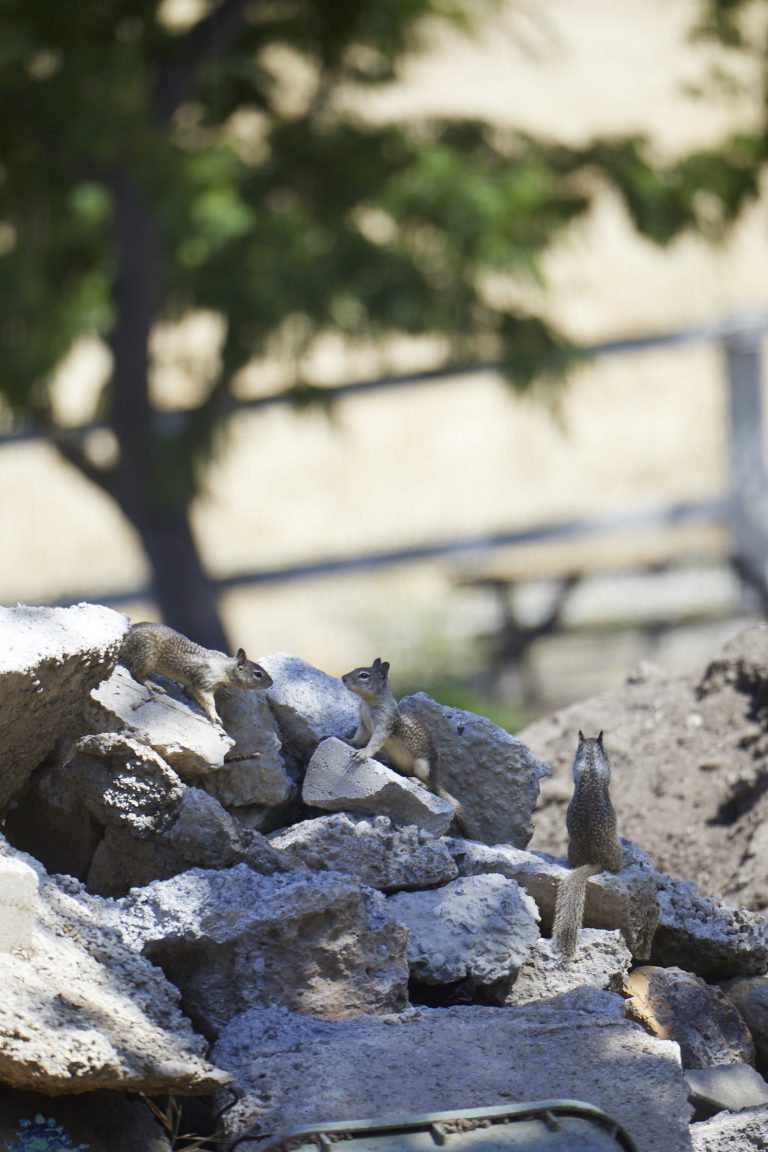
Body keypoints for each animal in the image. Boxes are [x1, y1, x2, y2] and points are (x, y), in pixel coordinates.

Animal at [118, 621, 273, 727]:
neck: (222, 667)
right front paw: (215, 716)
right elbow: (207, 700)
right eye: (258, 674)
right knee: (137, 673)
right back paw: (153, 684)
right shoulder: (204, 681)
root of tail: (124, 638)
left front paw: (223, 690)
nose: (271, 683)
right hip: (147, 654)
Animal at [341, 657, 467, 834]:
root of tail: (435, 777)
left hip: (423, 766)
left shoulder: (384, 725)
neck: (367, 703)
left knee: (432, 787)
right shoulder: (364, 724)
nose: (343, 678)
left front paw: (363, 753)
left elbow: (375, 742)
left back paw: (420, 782)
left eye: (364, 675)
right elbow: (359, 736)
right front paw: (349, 741)